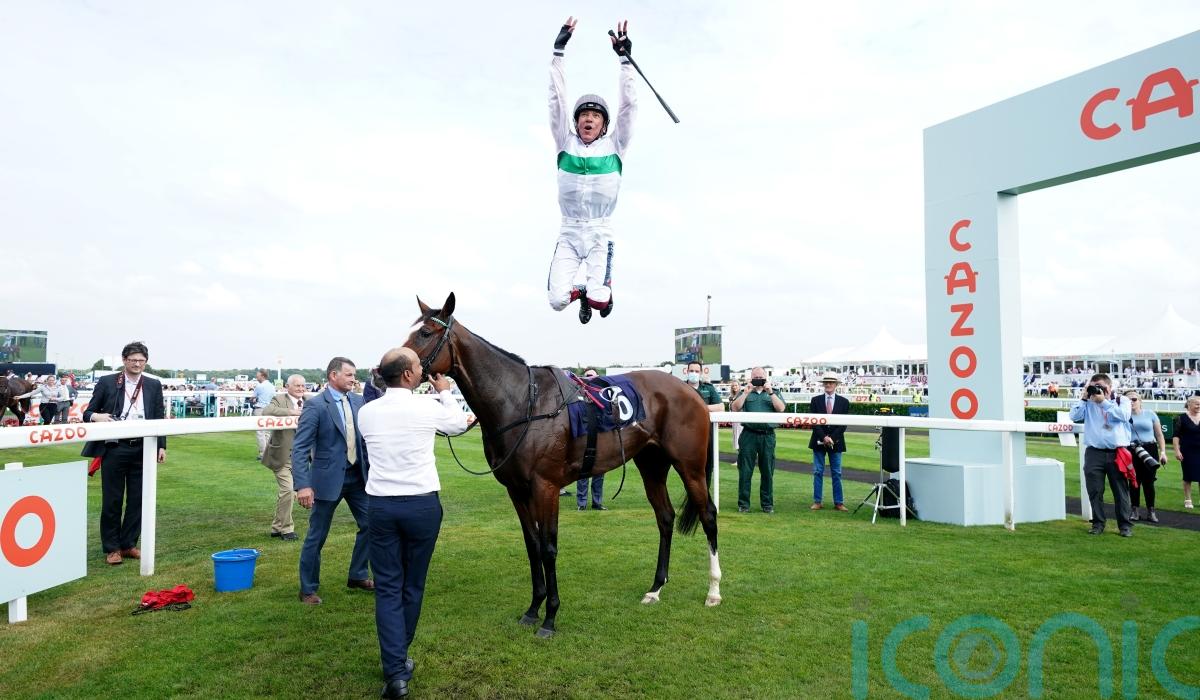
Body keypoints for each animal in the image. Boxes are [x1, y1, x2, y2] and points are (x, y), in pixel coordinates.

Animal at [402, 293, 721, 638]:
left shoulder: (546, 486)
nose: (383, 369)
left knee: (708, 515)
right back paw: (655, 588)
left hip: (689, 466)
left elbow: (549, 547)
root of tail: (689, 390)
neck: (522, 402)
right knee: (665, 518)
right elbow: (532, 545)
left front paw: (550, 617)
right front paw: (533, 609)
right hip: (651, 464)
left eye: (425, 333)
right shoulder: (517, 490)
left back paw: (713, 591)